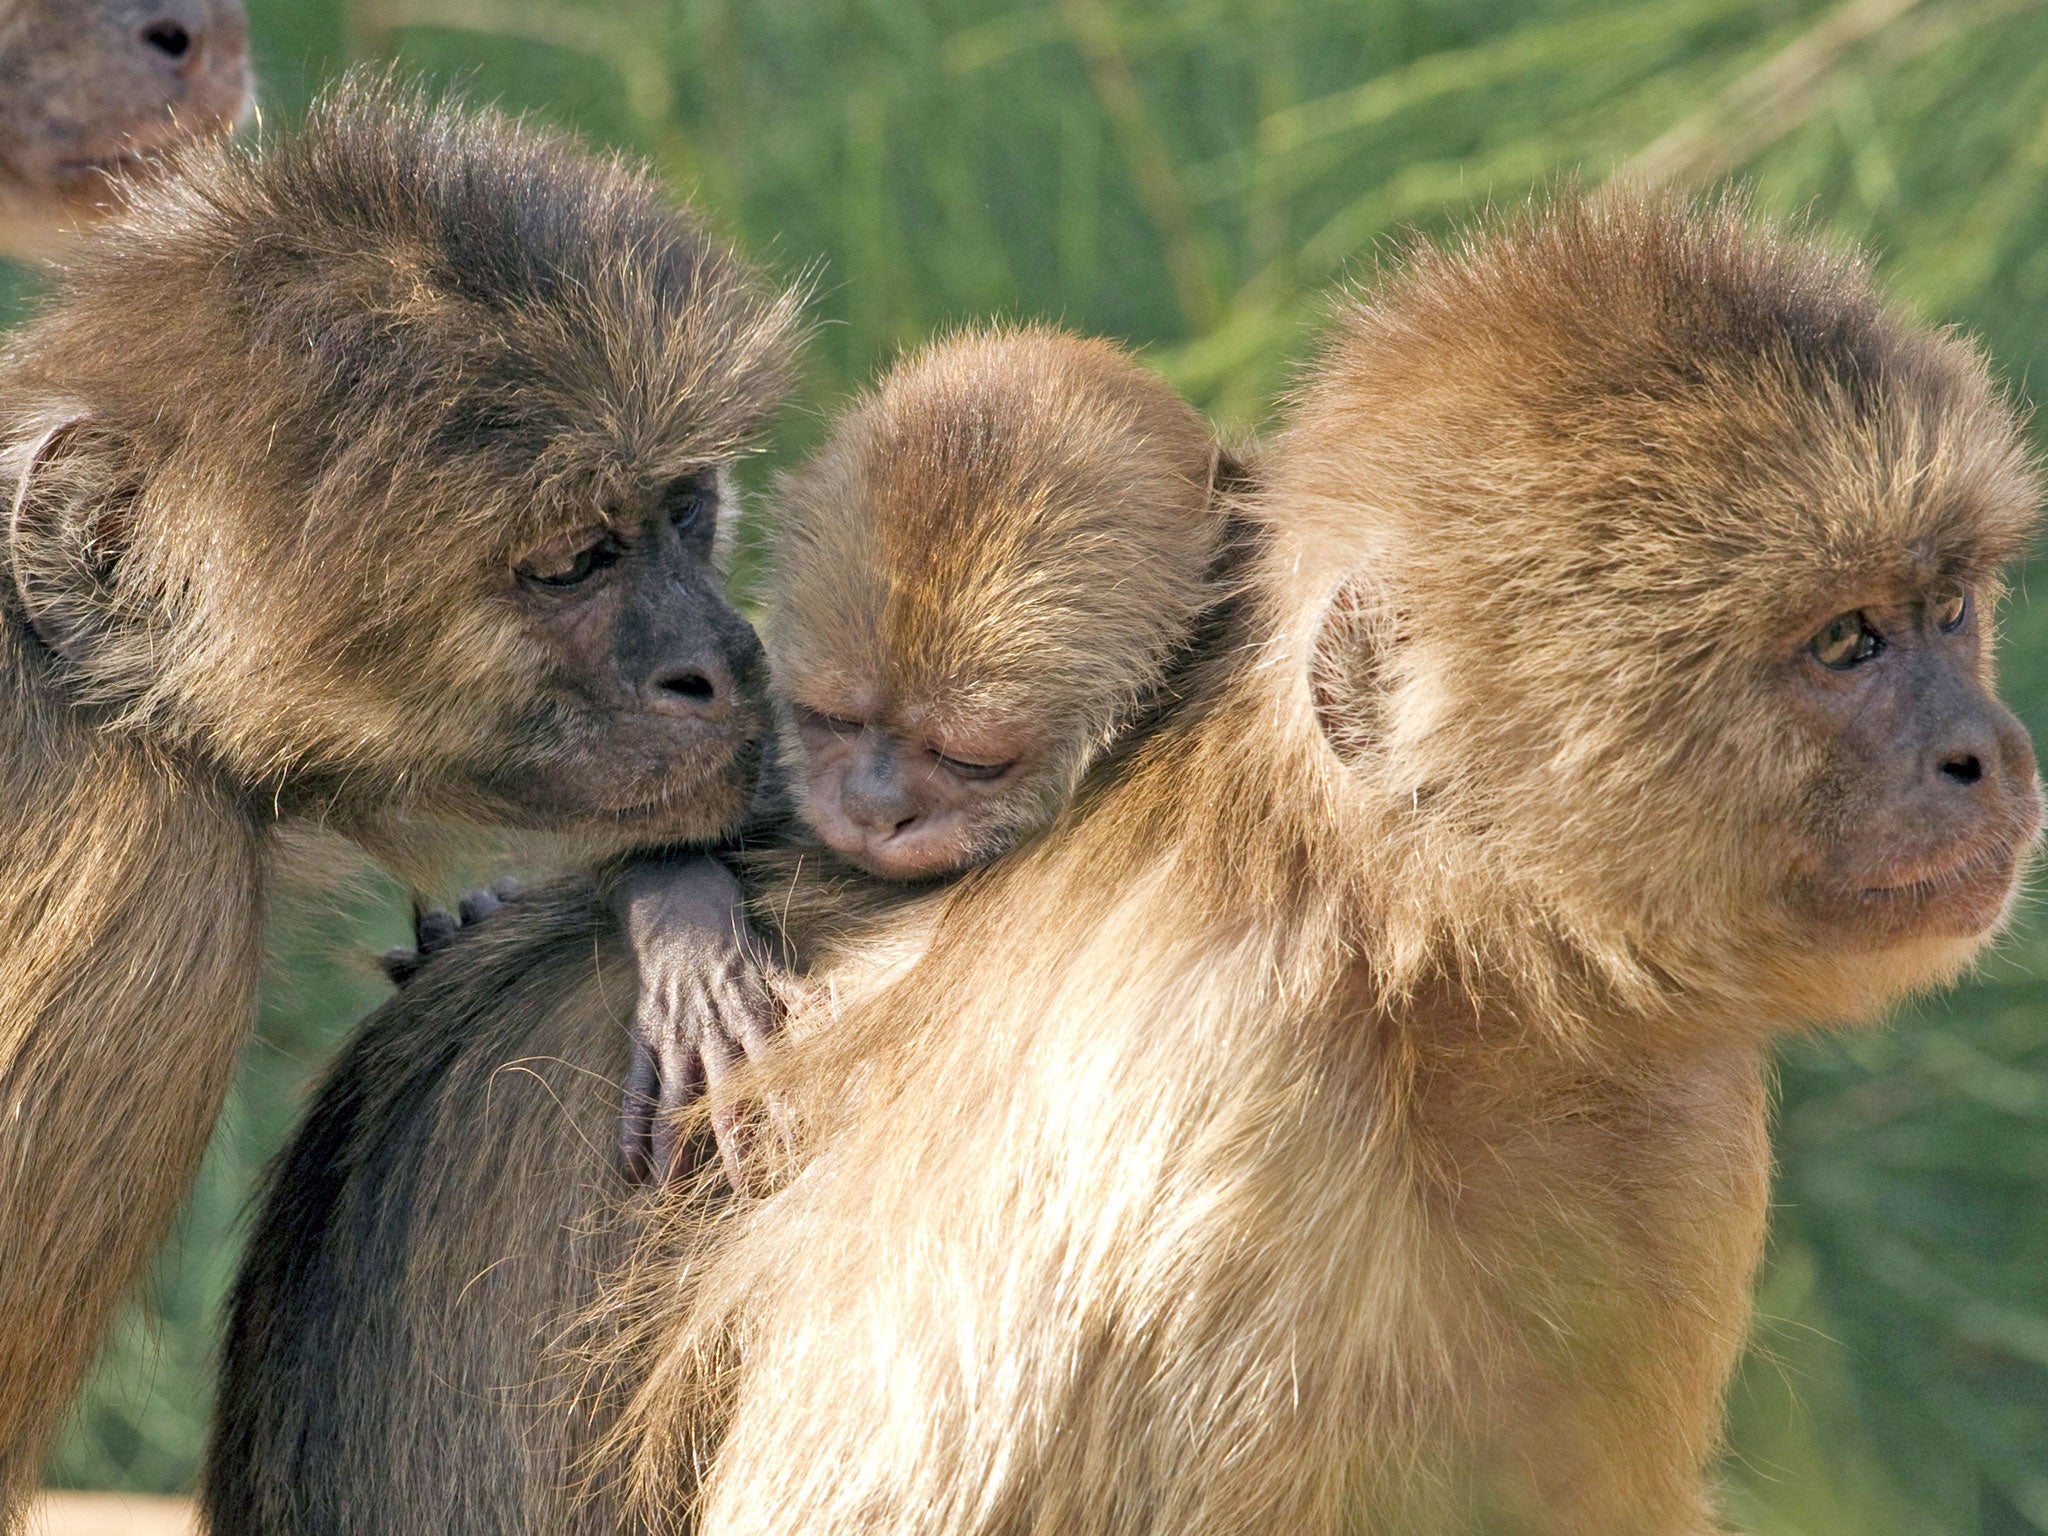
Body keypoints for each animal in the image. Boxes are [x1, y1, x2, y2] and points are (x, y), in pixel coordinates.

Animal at [203, 195, 2031, 1536]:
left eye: (1946, 614)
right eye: (1847, 646)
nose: (1983, 751)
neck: (1395, 965)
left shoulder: (1667, 1116)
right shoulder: (1190, 1120)